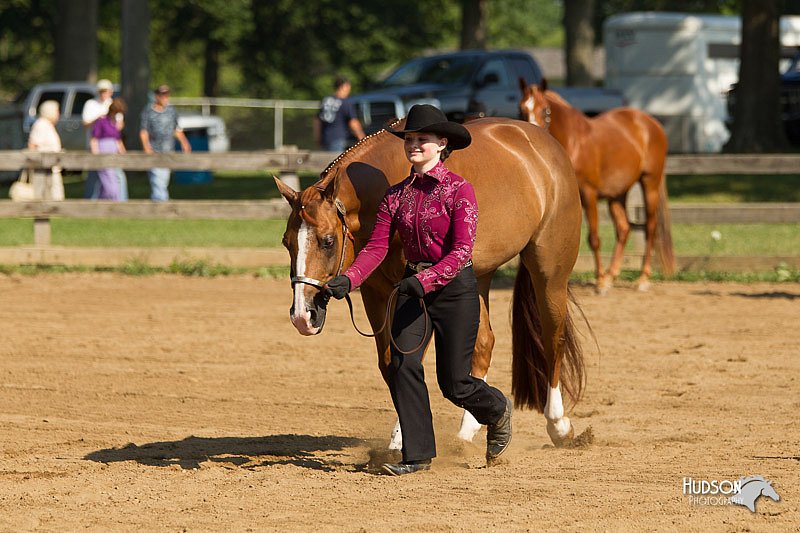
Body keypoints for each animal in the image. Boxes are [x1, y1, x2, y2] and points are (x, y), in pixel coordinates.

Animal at [520, 79, 676, 290]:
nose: (531, 135)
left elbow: (593, 238)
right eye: (521, 109)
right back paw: (612, 275)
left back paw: (642, 278)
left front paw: (600, 280)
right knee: (623, 228)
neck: (574, 142)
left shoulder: (589, 194)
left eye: (545, 110)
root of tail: (650, 122)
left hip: (649, 183)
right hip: (617, 194)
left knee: (650, 227)